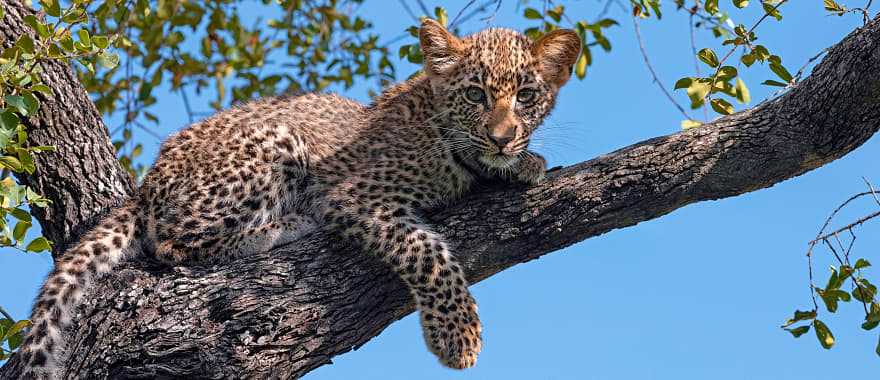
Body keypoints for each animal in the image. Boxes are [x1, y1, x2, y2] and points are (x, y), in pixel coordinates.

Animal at [17, 19, 580, 378]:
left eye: (526, 96)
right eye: (475, 95)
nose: (503, 137)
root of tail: (146, 186)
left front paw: (524, 162)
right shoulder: (354, 196)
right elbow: (428, 251)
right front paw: (458, 337)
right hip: (276, 143)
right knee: (174, 242)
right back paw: (288, 225)